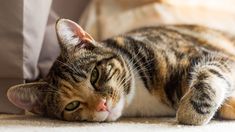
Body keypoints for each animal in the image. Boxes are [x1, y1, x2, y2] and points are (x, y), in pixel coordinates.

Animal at [5, 18, 235, 125]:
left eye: (95, 76)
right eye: (71, 105)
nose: (102, 105)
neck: (139, 98)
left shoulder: (207, 56)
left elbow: (209, 71)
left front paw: (190, 114)